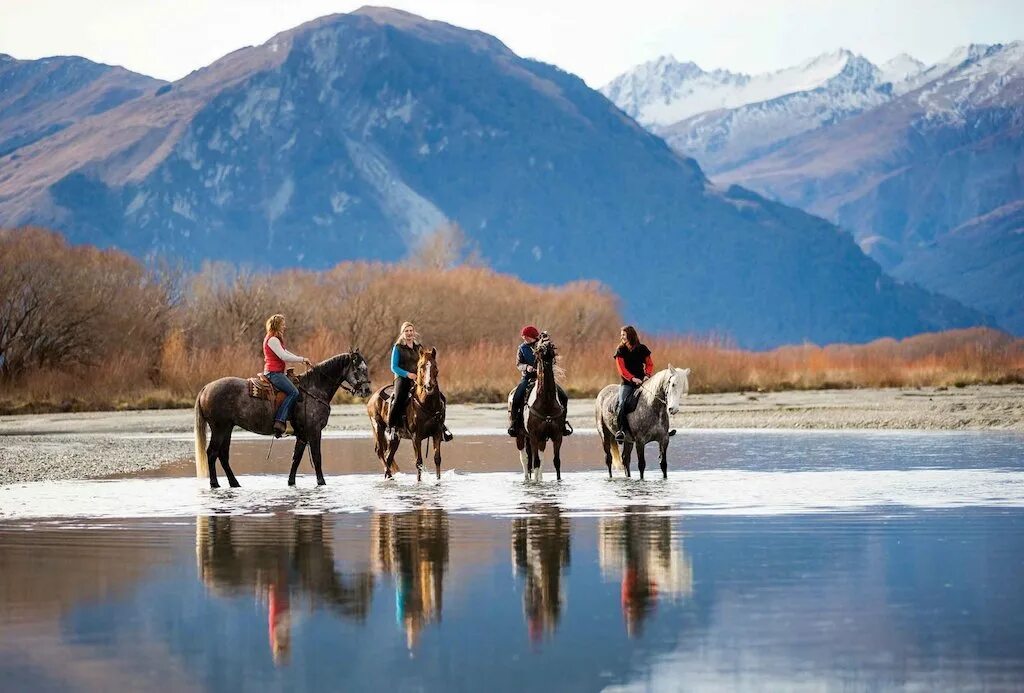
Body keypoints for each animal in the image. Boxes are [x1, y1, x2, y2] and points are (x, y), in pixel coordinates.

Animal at [192, 352, 372, 487]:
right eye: (359, 368)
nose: (367, 390)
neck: (314, 389)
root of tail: (206, 388)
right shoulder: (314, 432)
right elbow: (317, 457)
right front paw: (321, 482)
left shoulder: (303, 435)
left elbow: (296, 458)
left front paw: (291, 482)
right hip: (219, 428)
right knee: (212, 453)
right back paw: (215, 484)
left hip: (227, 428)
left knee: (223, 455)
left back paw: (234, 483)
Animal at [368, 345, 448, 481]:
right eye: (421, 366)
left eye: (435, 366)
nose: (429, 386)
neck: (427, 405)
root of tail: (373, 397)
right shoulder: (416, 437)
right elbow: (419, 462)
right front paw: (419, 482)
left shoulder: (437, 433)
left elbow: (437, 459)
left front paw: (438, 481)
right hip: (378, 427)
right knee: (380, 451)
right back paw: (389, 474)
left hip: (395, 438)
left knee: (389, 456)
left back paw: (388, 476)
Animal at [512, 335, 569, 481]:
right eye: (540, 346)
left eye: (551, 343)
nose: (547, 353)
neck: (546, 402)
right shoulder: (534, 436)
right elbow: (535, 461)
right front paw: (536, 483)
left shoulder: (557, 436)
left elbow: (556, 461)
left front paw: (557, 481)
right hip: (520, 436)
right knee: (525, 458)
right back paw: (527, 478)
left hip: (542, 439)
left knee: (539, 459)